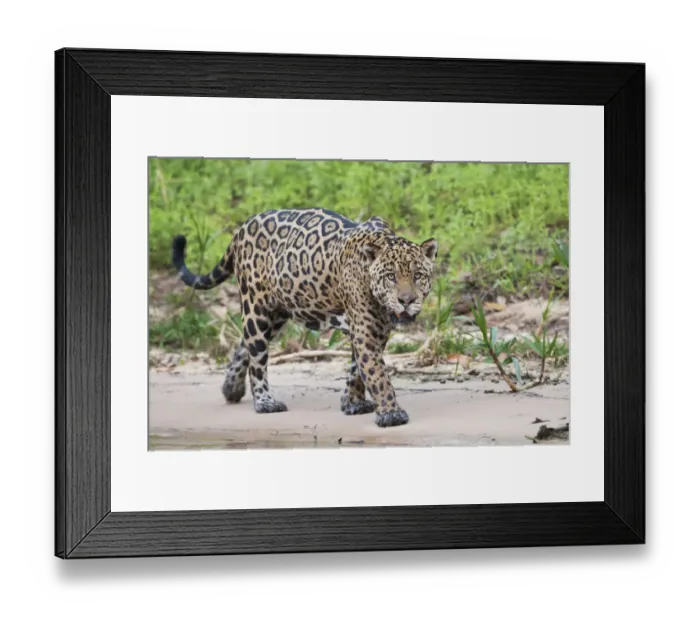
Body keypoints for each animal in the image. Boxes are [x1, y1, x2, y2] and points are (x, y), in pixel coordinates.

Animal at [172, 207, 438, 428]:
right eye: (391, 277)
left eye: (418, 275)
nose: (406, 301)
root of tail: (243, 226)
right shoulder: (365, 332)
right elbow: (377, 374)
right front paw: (391, 413)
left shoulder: (374, 331)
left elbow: (357, 370)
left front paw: (351, 402)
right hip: (256, 307)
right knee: (257, 358)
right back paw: (265, 402)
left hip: (277, 313)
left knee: (244, 345)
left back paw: (231, 388)